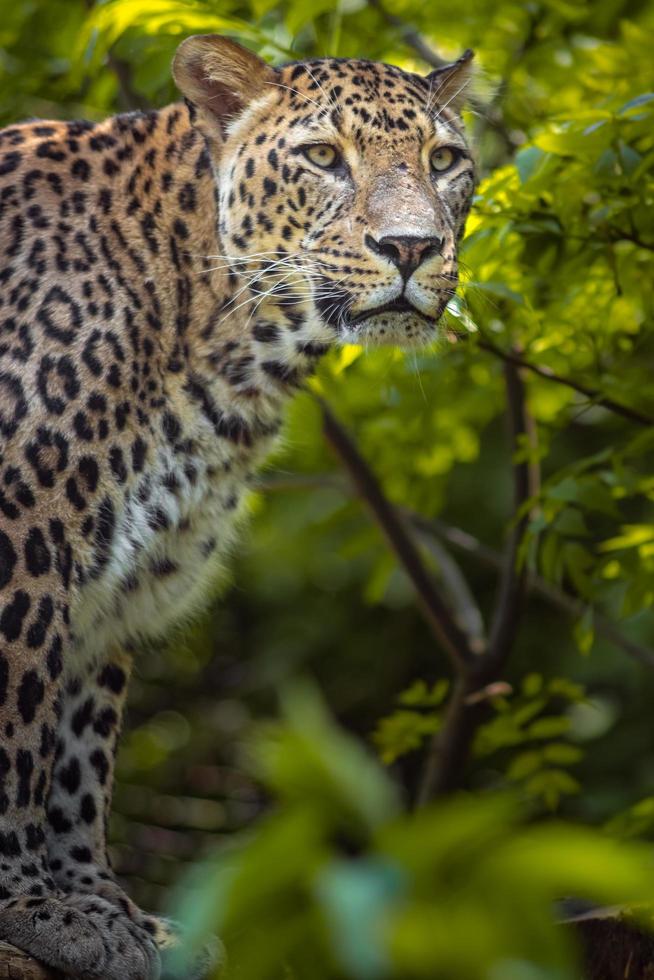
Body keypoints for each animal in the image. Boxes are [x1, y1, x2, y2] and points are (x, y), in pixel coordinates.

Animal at [0, 34, 476, 976]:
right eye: (323, 157)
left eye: (445, 162)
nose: (411, 247)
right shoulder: (23, 534)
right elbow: (18, 735)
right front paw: (31, 906)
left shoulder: (109, 581)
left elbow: (77, 753)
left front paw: (109, 912)